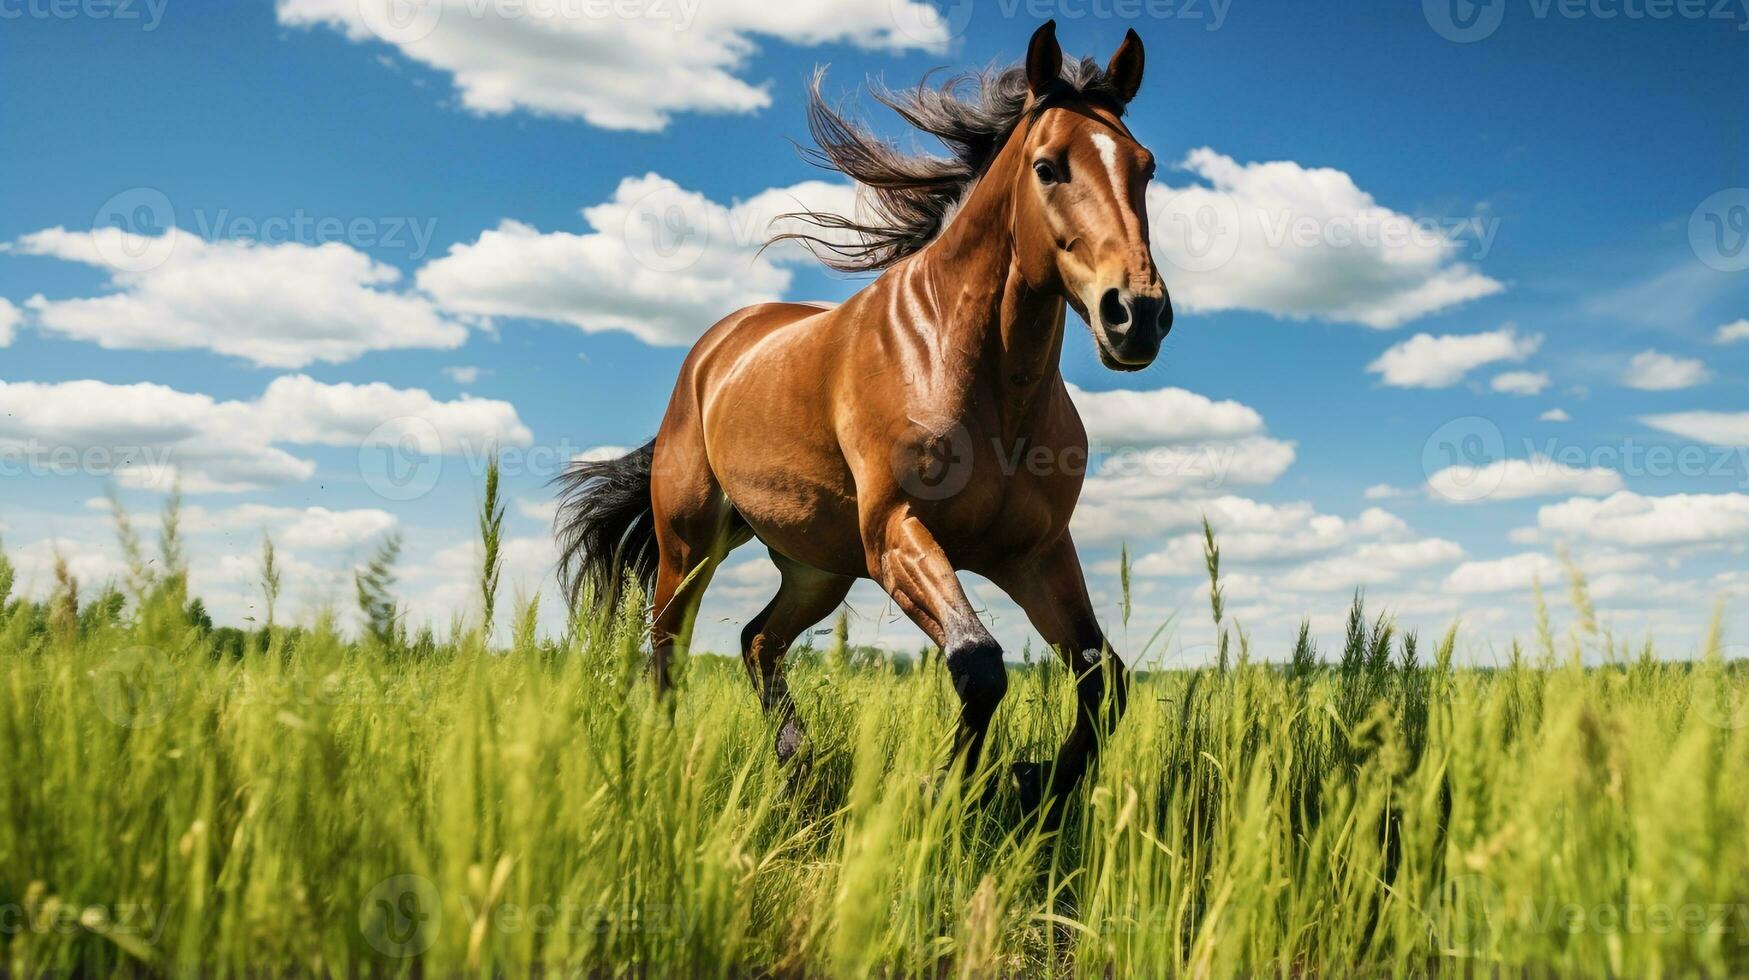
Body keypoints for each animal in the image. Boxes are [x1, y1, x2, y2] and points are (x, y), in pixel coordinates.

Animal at [552, 21, 1168, 812]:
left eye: (1144, 168)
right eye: (1047, 167)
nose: (1138, 315)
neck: (970, 372)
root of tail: (713, 352)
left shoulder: (1036, 554)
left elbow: (1103, 680)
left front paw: (1038, 786)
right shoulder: (896, 534)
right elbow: (979, 664)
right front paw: (942, 790)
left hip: (817, 568)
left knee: (758, 641)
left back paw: (797, 771)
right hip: (690, 546)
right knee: (667, 653)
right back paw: (669, 774)